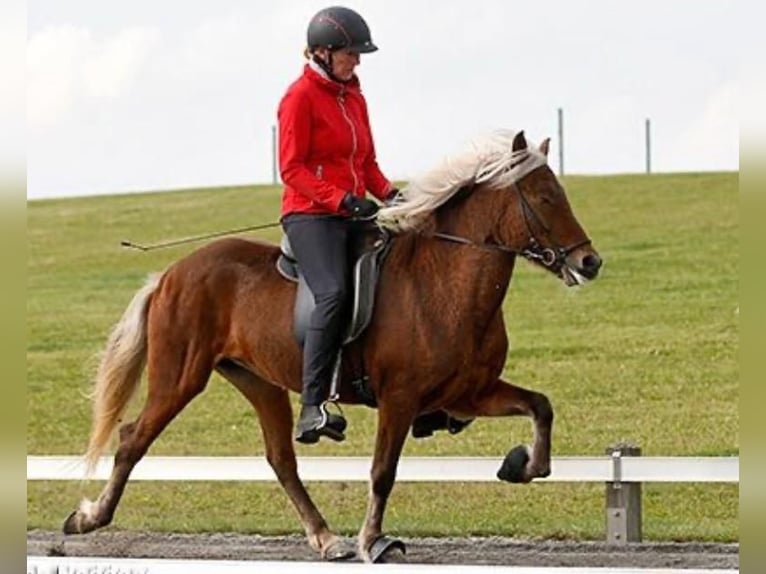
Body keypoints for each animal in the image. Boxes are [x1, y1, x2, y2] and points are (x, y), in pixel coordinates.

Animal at [63, 130, 602, 563]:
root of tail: (171, 274)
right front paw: (374, 541)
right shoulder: (400, 399)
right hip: (180, 377)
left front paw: (520, 465)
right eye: (544, 198)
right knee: (132, 439)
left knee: (281, 459)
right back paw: (87, 518)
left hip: (258, 382)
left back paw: (325, 539)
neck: (443, 281)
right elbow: (383, 471)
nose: (590, 263)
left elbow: (541, 407)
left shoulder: (468, 392)